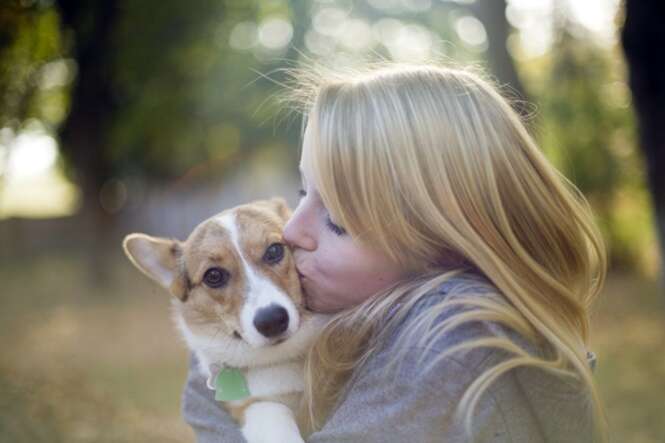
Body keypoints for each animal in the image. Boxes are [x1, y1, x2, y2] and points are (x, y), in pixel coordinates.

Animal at [121, 199, 326, 443]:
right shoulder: (252, 406)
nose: (272, 321)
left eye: (274, 250)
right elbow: (272, 415)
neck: (279, 358)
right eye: (213, 276)